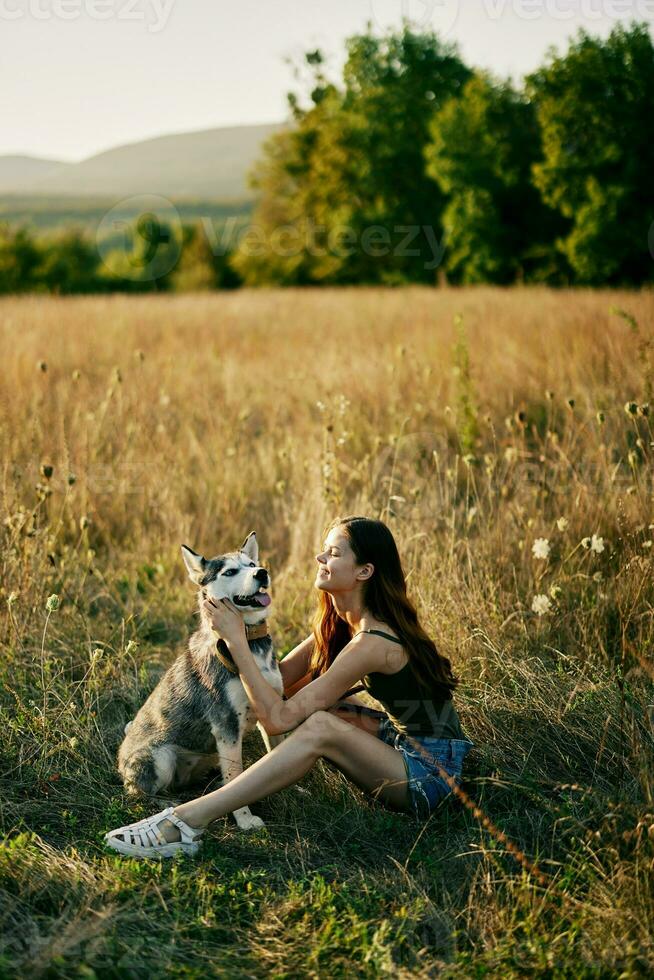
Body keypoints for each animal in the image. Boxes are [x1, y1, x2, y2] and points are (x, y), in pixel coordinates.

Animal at [119, 532, 284, 832]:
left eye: (252, 564)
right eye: (229, 571)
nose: (262, 573)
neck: (246, 643)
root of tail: (120, 756)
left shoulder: (271, 707)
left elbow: (274, 752)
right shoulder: (226, 724)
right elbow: (236, 778)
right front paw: (244, 819)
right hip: (160, 758)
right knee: (139, 793)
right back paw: (166, 803)